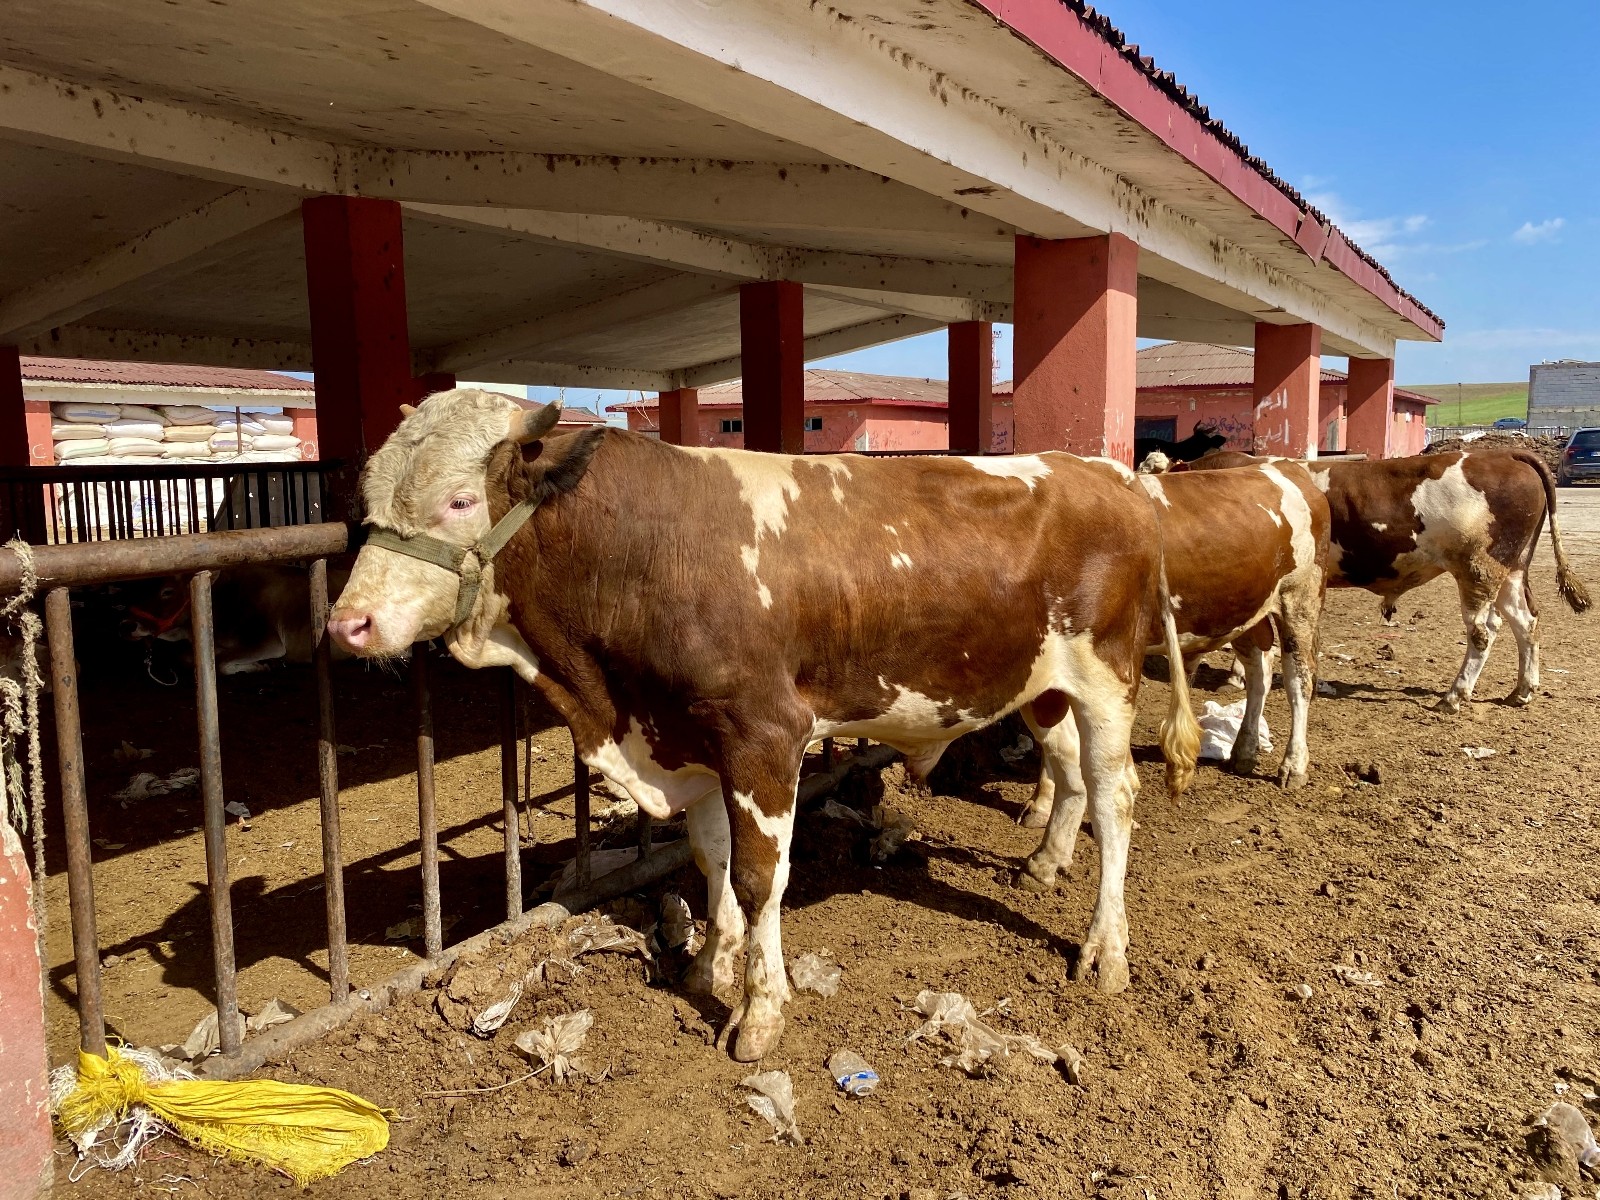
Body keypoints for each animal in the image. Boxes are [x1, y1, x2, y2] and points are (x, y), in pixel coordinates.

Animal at [328, 392, 1203, 1062]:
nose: (348, 623)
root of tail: (1108, 472)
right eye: (368, 504)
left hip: (1107, 676)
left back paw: (1106, 950)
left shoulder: (763, 737)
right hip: (1042, 683)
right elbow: (710, 859)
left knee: (1115, 796)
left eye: (459, 500)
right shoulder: (692, 738)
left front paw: (759, 1014)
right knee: (1067, 769)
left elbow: (757, 879)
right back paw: (1046, 862)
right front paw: (708, 968)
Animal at [1017, 454, 1331, 832]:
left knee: (1299, 680)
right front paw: (1042, 801)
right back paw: (1244, 750)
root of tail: (1286, 466)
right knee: (1259, 673)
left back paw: (1293, 765)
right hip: (1245, 609)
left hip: (1301, 598)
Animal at [1190, 451, 1587, 713]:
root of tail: (1505, 454)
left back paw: (1455, 696)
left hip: (1478, 570)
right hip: (1510, 572)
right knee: (1526, 623)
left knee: (1483, 632)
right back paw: (1522, 690)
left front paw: (1237, 675)